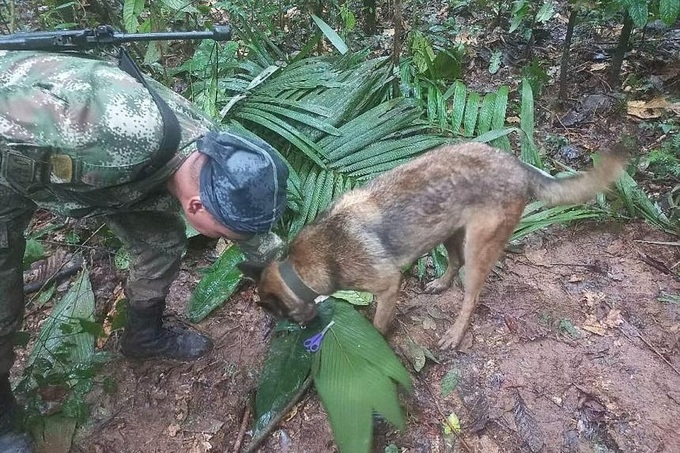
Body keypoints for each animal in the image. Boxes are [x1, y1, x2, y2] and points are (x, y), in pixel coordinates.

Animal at [240, 143, 628, 348]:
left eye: (279, 315)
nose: (303, 332)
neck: (303, 265)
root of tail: (517, 164)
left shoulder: (388, 285)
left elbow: (378, 323)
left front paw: (375, 342)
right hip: (449, 233)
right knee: (453, 263)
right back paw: (440, 284)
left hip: (477, 248)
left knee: (471, 295)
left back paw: (455, 333)